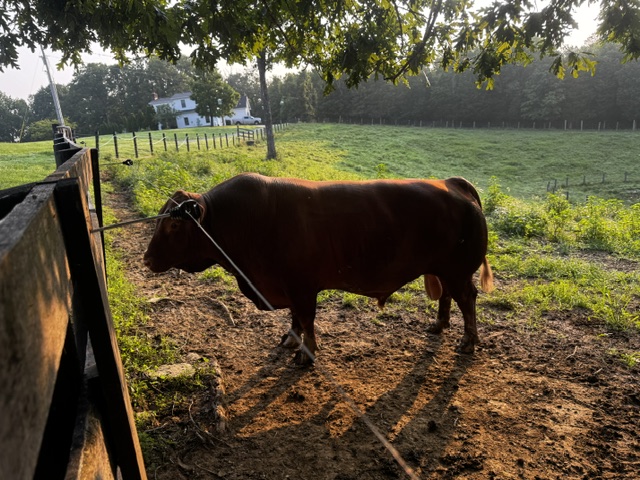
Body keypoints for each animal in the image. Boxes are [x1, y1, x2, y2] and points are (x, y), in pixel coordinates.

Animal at [143, 173, 493, 364]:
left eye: (174, 225)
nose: (146, 259)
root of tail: (451, 183)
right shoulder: (286, 285)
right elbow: (295, 318)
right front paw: (290, 340)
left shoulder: (301, 286)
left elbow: (306, 319)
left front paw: (305, 353)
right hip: (444, 268)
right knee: (448, 296)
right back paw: (439, 325)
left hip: (458, 270)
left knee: (467, 299)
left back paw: (468, 341)